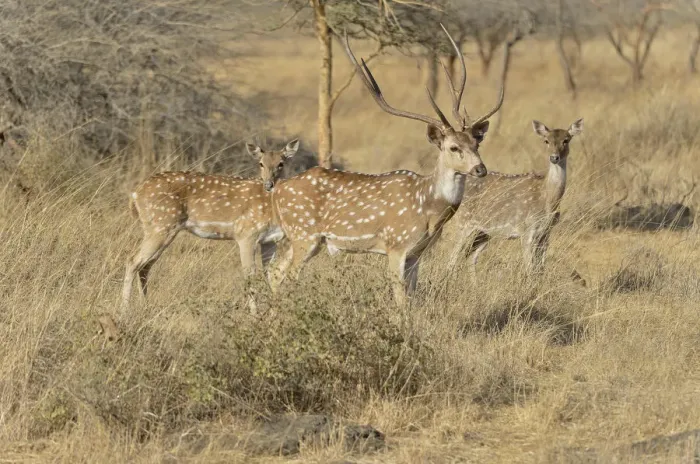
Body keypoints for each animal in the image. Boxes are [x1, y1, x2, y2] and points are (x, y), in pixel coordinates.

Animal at [121, 138, 300, 311]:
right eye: (261, 163)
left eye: (281, 163)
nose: (269, 184)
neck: (272, 208)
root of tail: (135, 194)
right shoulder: (246, 234)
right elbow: (249, 275)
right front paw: (255, 314)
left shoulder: (269, 240)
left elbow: (271, 274)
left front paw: (273, 311)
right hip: (160, 225)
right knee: (132, 261)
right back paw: (125, 310)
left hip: (161, 229)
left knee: (145, 266)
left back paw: (145, 306)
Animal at [265, 24, 505, 305]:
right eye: (453, 147)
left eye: (476, 144)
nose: (480, 169)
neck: (428, 207)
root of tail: (277, 190)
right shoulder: (396, 244)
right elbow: (400, 298)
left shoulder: (416, 253)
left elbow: (412, 295)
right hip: (304, 235)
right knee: (287, 276)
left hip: (294, 238)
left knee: (274, 271)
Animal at [441, 119, 584, 280]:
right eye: (546, 140)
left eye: (566, 140)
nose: (554, 157)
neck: (547, 199)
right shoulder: (526, 228)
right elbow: (530, 269)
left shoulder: (546, 233)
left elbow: (540, 269)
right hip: (463, 222)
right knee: (452, 258)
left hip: (484, 232)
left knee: (471, 257)